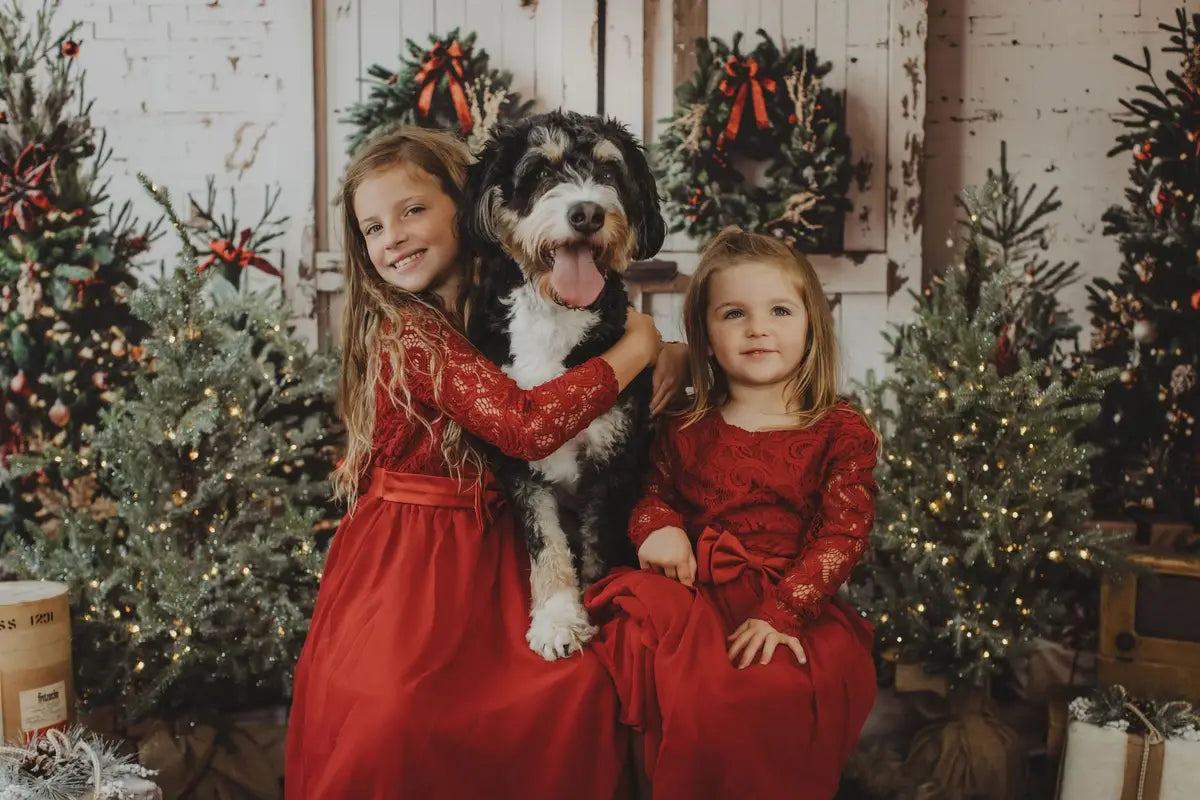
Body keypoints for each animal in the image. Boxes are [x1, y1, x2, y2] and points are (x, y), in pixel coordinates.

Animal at [458, 112, 667, 662]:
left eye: (611, 172)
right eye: (539, 172)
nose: (587, 213)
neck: (554, 315)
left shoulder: (614, 462)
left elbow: (596, 551)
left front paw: (597, 605)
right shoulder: (520, 464)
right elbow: (547, 545)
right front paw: (557, 620)